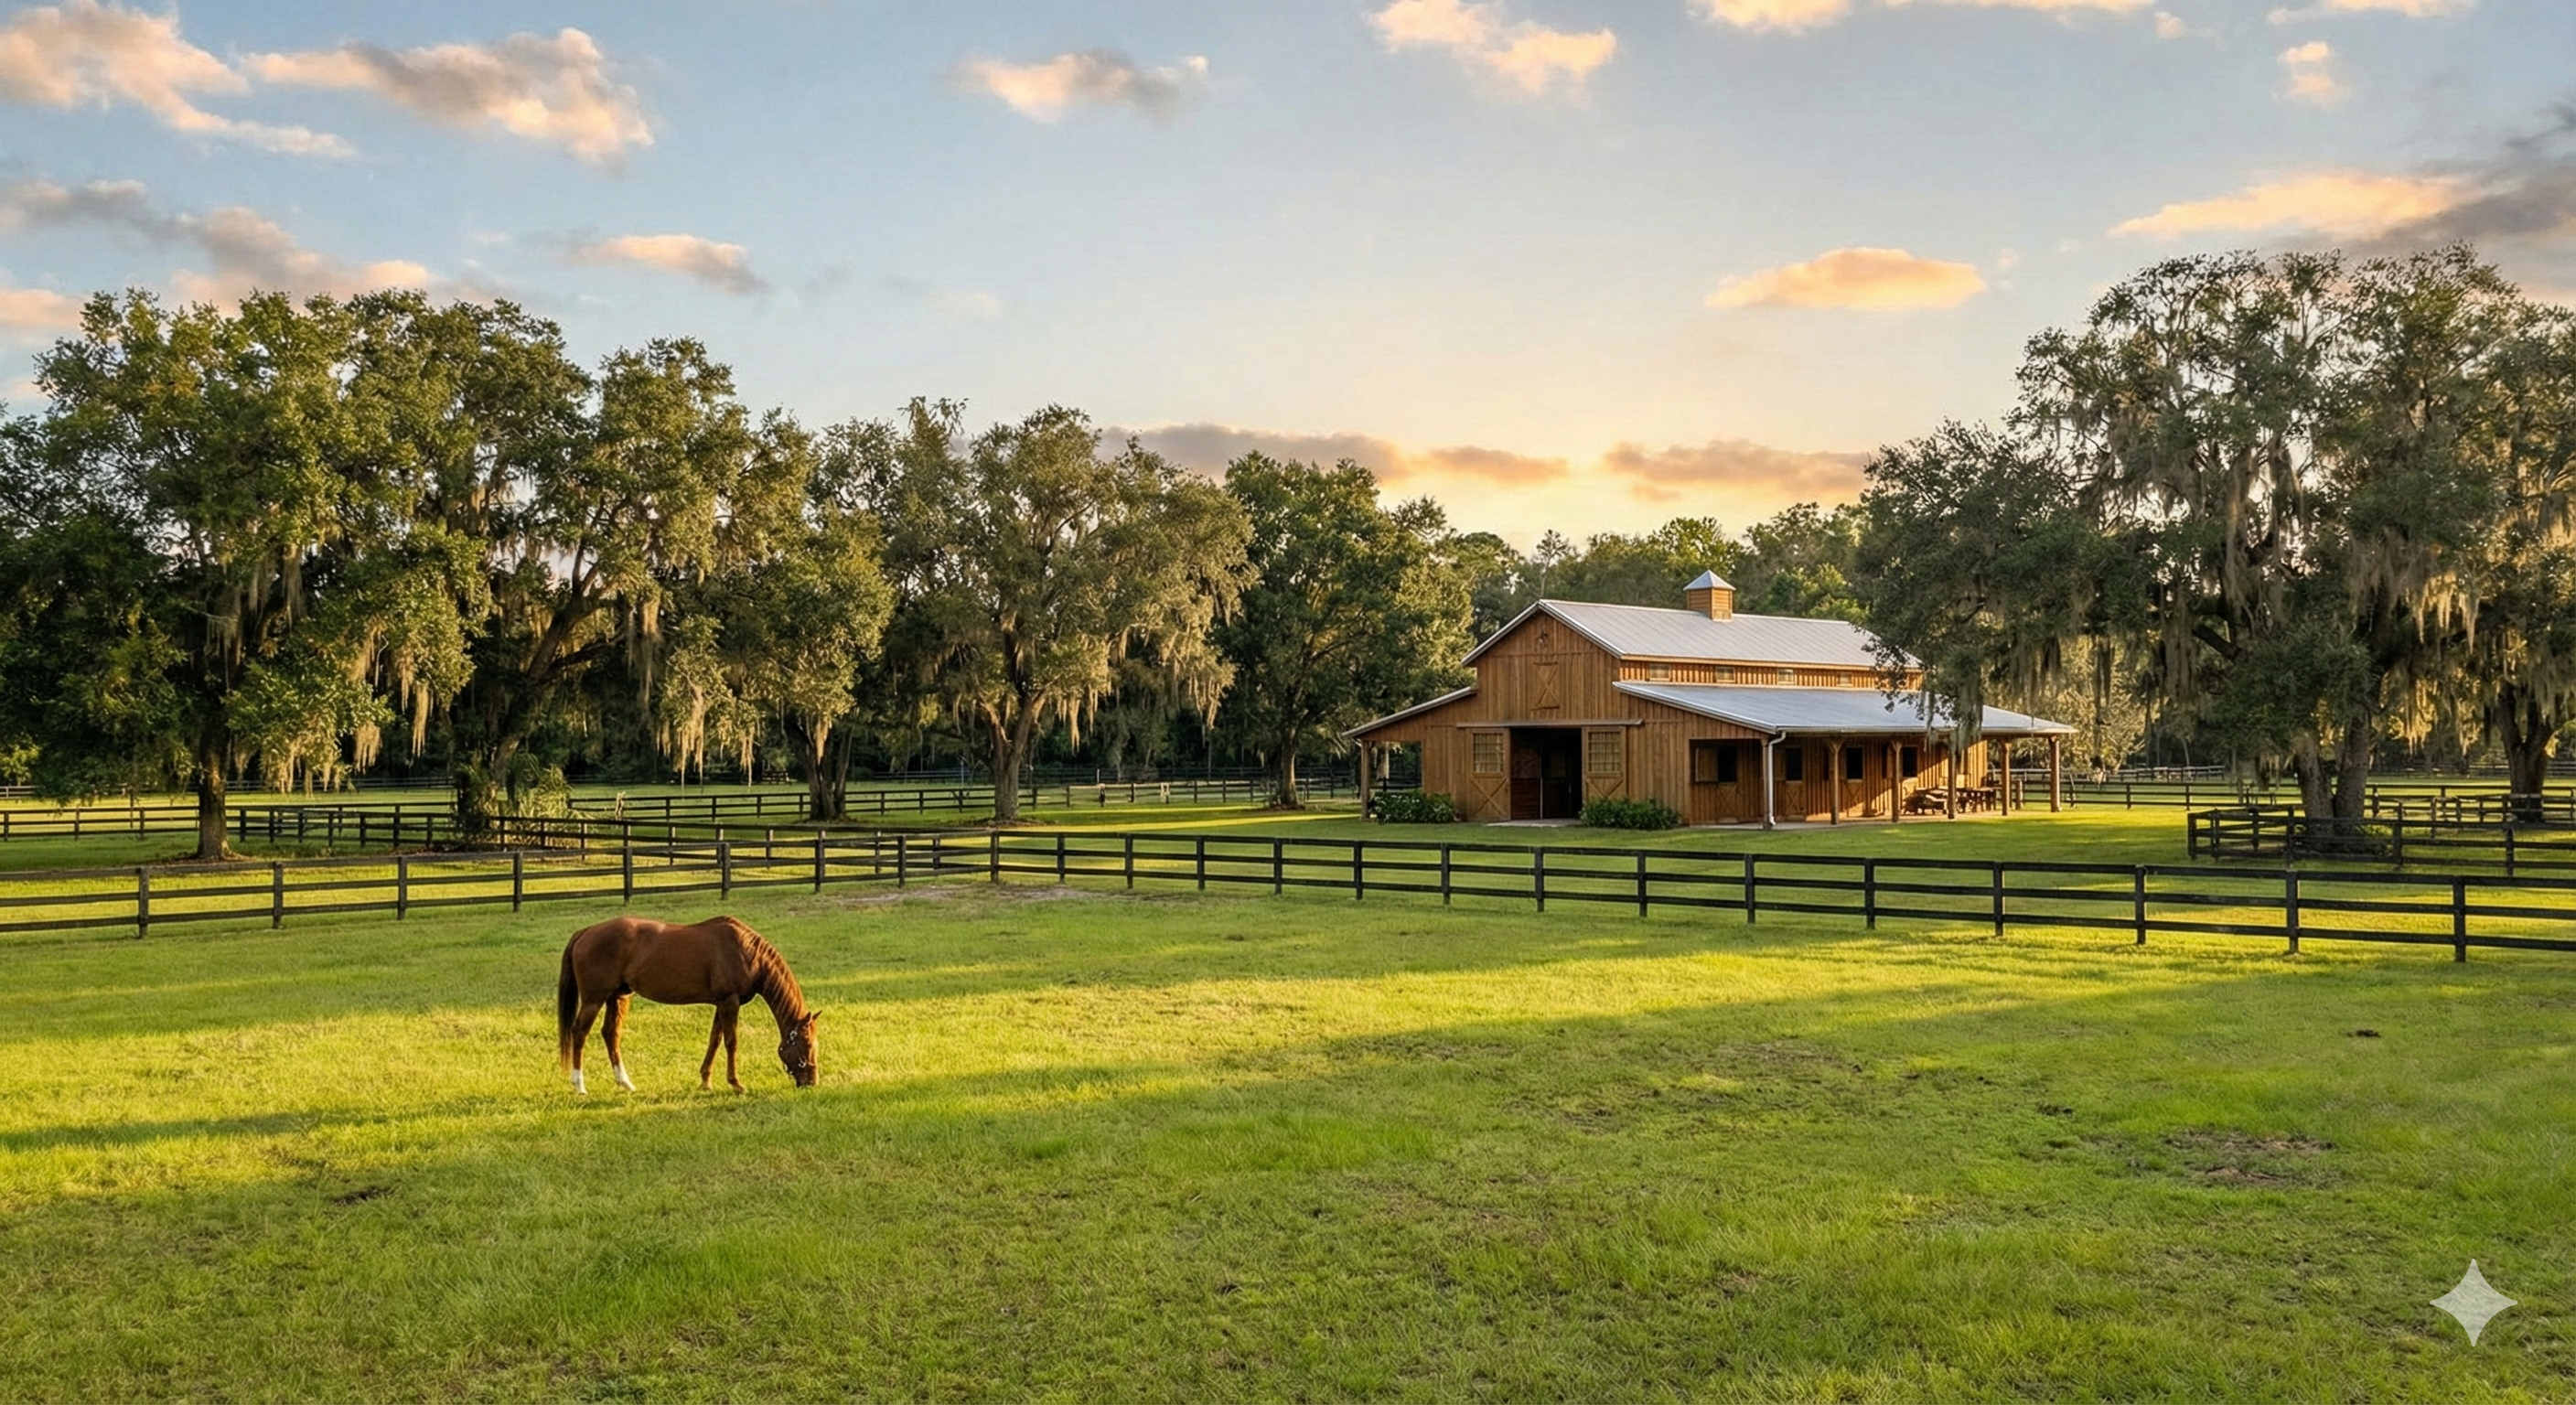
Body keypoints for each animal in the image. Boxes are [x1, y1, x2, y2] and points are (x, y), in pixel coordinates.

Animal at [556, 915, 821, 1094]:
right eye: (807, 1043)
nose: (812, 1081)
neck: (747, 954)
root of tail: (586, 932)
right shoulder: (730, 1001)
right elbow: (731, 1042)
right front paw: (736, 1084)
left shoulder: (720, 1003)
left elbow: (715, 1040)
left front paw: (705, 1081)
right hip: (594, 999)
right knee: (579, 1033)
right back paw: (579, 1085)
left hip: (618, 997)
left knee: (611, 1033)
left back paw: (626, 1083)